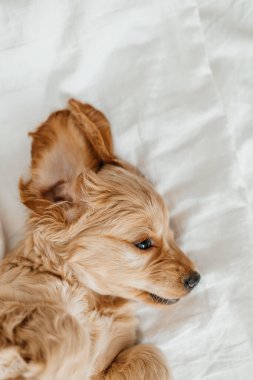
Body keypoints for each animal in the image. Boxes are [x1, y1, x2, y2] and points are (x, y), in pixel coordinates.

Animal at [0, 100, 201, 380]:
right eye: (143, 243)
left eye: (171, 234)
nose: (195, 279)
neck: (94, 300)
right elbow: (70, 326)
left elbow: (150, 355)